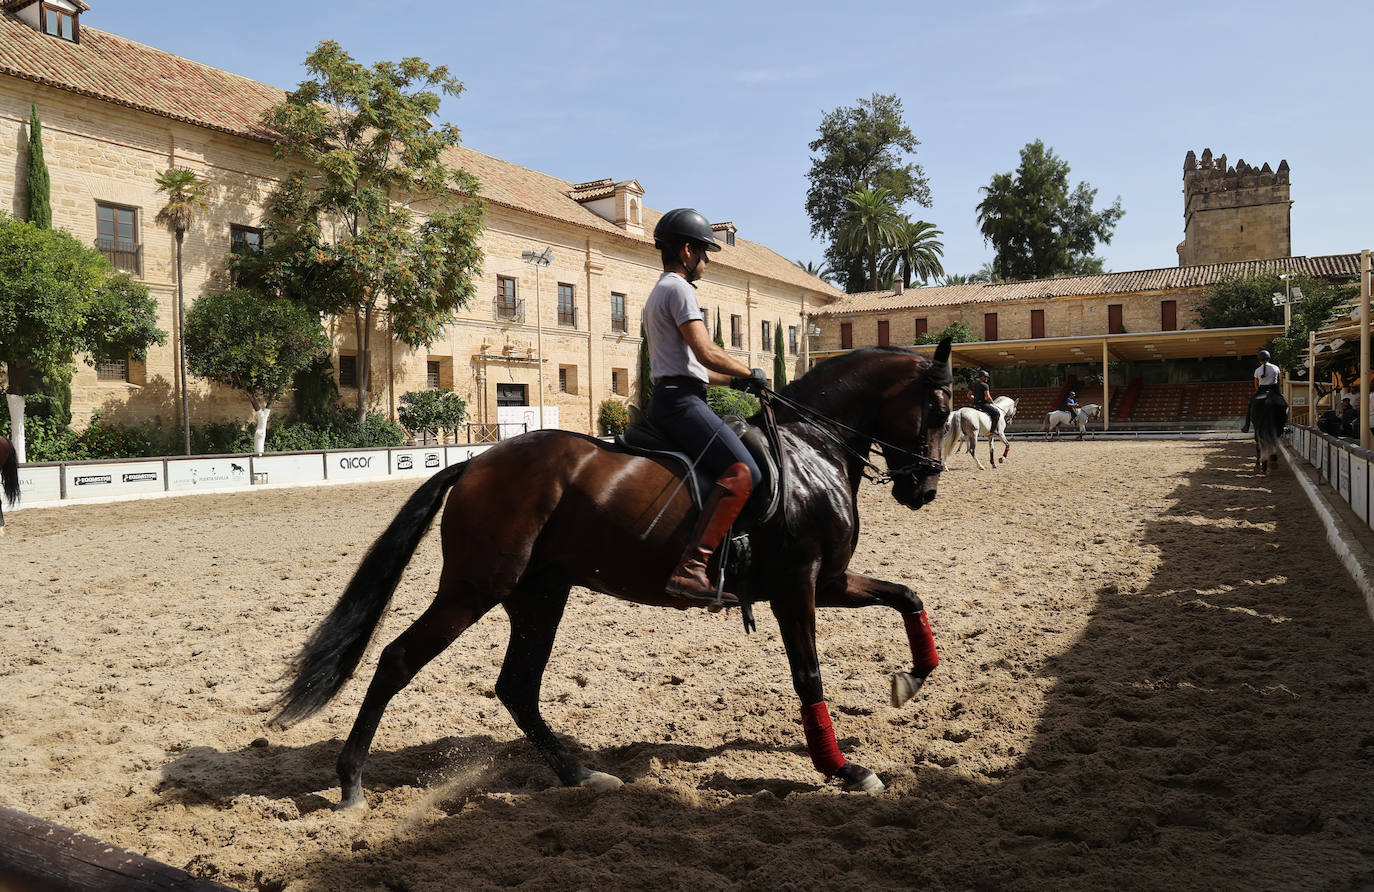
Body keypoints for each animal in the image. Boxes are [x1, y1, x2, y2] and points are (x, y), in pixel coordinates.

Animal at [269, 338, 956, 802]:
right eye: (939, 411)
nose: (924, 489)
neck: (813, 448)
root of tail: (476, 463)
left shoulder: (830, 582)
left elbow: (908, 595)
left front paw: (913, 680)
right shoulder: (797, 585)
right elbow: (808, 675)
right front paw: (843, 768)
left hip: (539, 595)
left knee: (517, 687)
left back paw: (579, 773)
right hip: (474, 590)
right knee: (397, 661)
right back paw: (351, 782)